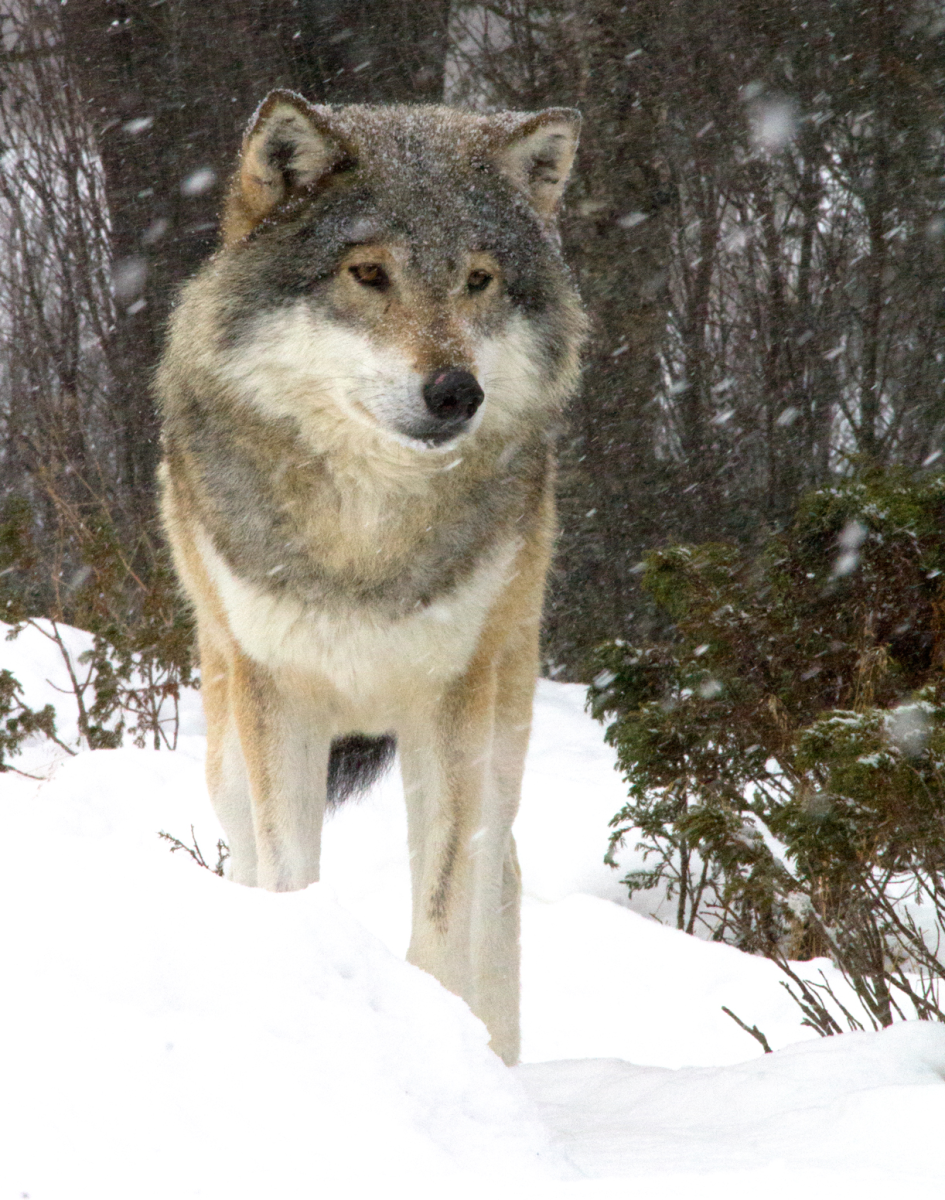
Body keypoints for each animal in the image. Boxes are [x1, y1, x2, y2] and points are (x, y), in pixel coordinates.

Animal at [157, 91, 585, 1064]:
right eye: (367, 273)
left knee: (498, 873)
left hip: (500, 723)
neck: (366, 534)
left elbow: (445, 912)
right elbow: (289, 877)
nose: (455, 392)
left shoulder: (452, 706)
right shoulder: (279, 699)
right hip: (226, 745)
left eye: (477, 280)